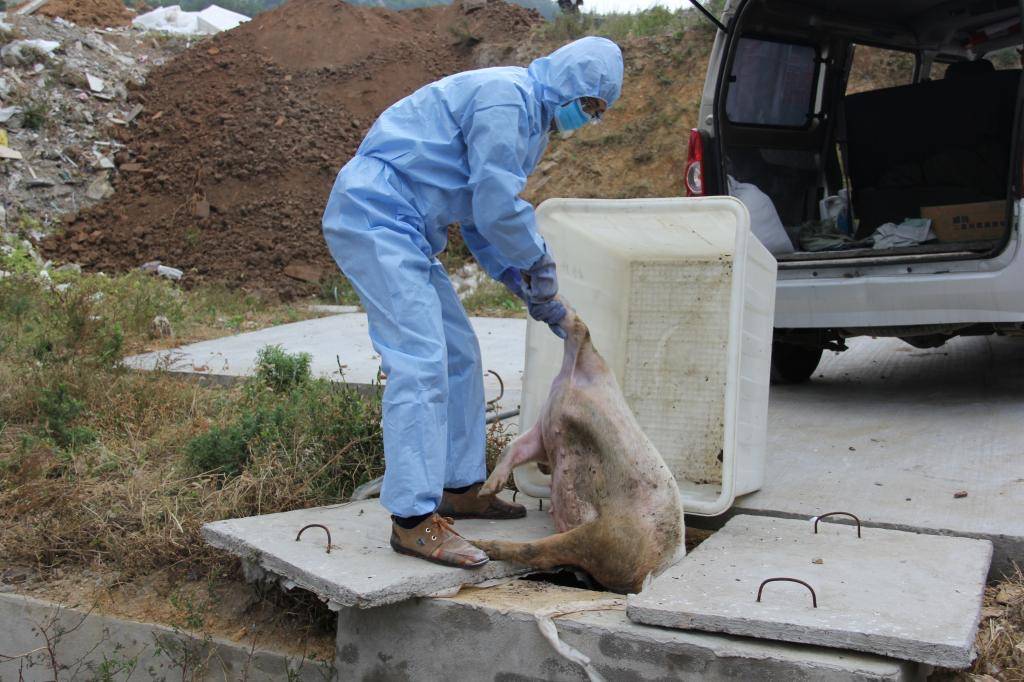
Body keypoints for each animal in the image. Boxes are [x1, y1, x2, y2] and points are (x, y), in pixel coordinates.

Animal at [473, 303, 684, 589]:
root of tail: (650, 570)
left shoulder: (559, 419)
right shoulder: (545, 429)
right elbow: (513, 448)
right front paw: (486, 490)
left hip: (605, 537)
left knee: (537, 552)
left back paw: (479, 545)